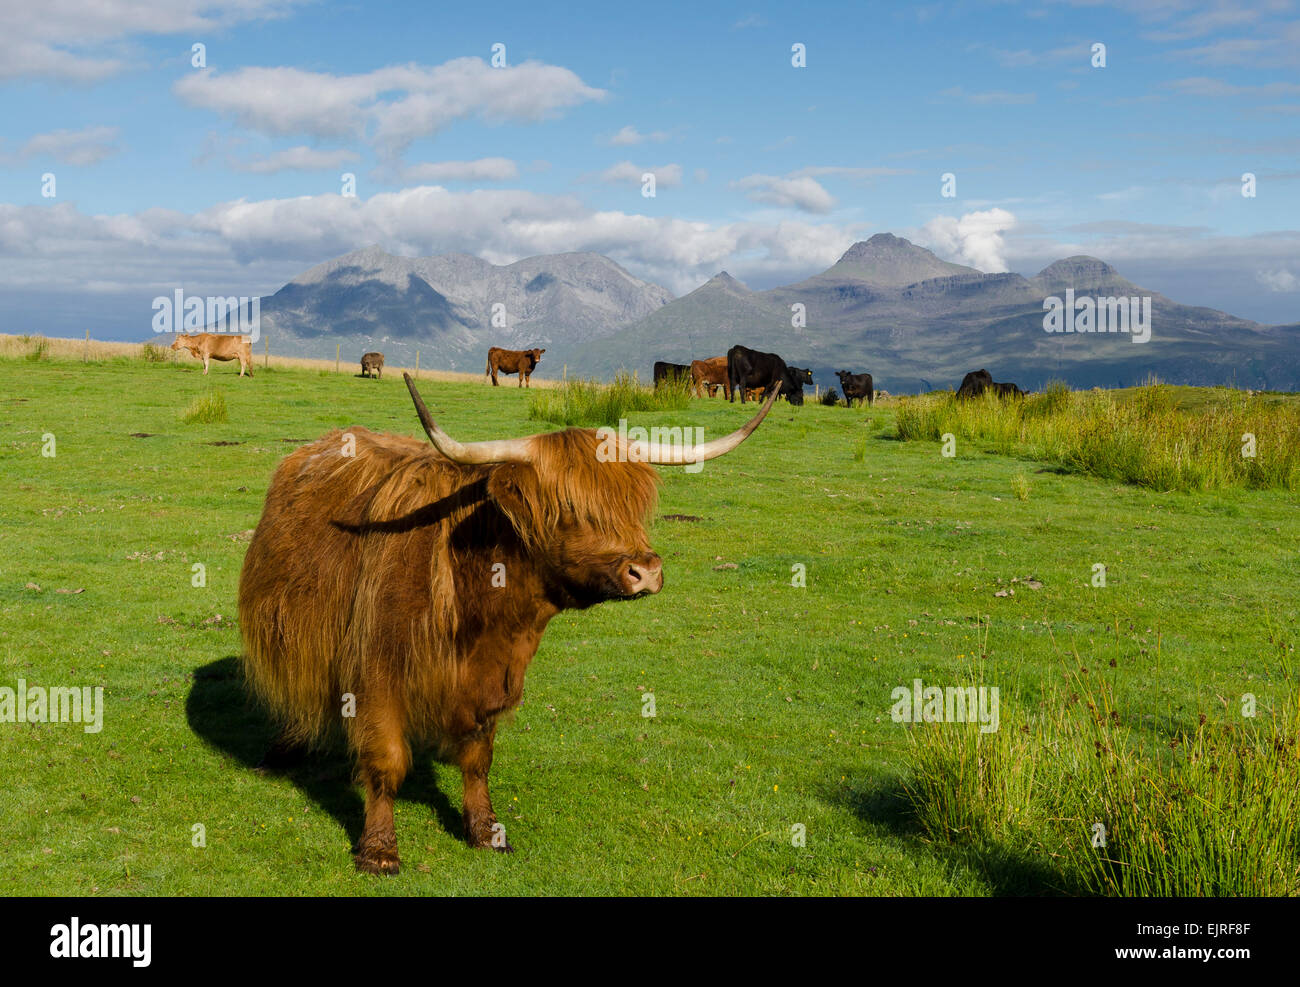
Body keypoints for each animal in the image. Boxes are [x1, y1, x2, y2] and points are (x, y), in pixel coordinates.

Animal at [237, 374, 774, 873]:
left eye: (630, 506)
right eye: (569, 508)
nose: (647, 571)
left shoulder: (494, 678)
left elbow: (478, 761)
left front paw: (485, 831)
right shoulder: (376, 674)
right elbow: (386, 762)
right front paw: (379, 851)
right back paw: (283, 749)